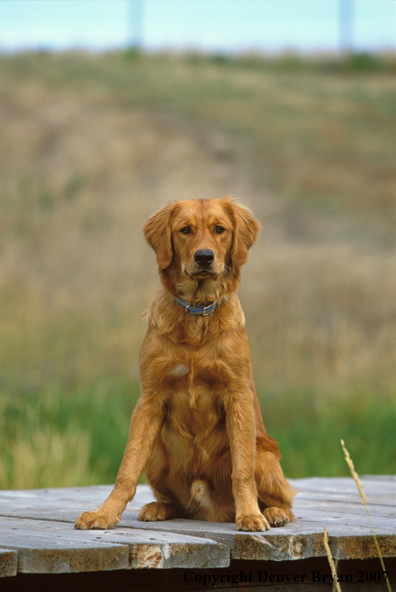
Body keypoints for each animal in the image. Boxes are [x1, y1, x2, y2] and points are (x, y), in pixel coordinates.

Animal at [75, 198, 294, 532]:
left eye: (220, 229)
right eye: (185, 230)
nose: (204, 257)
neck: (196, 312)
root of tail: (212, 512)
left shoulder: (237, 396)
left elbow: (242, 470)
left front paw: (249, 515)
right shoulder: (149, 399)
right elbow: (127, 468)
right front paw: (105, 513)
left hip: (264, 453)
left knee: (286, 501)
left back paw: (272, 512)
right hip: (157, 456)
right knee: (180, 504)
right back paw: (158, 507)